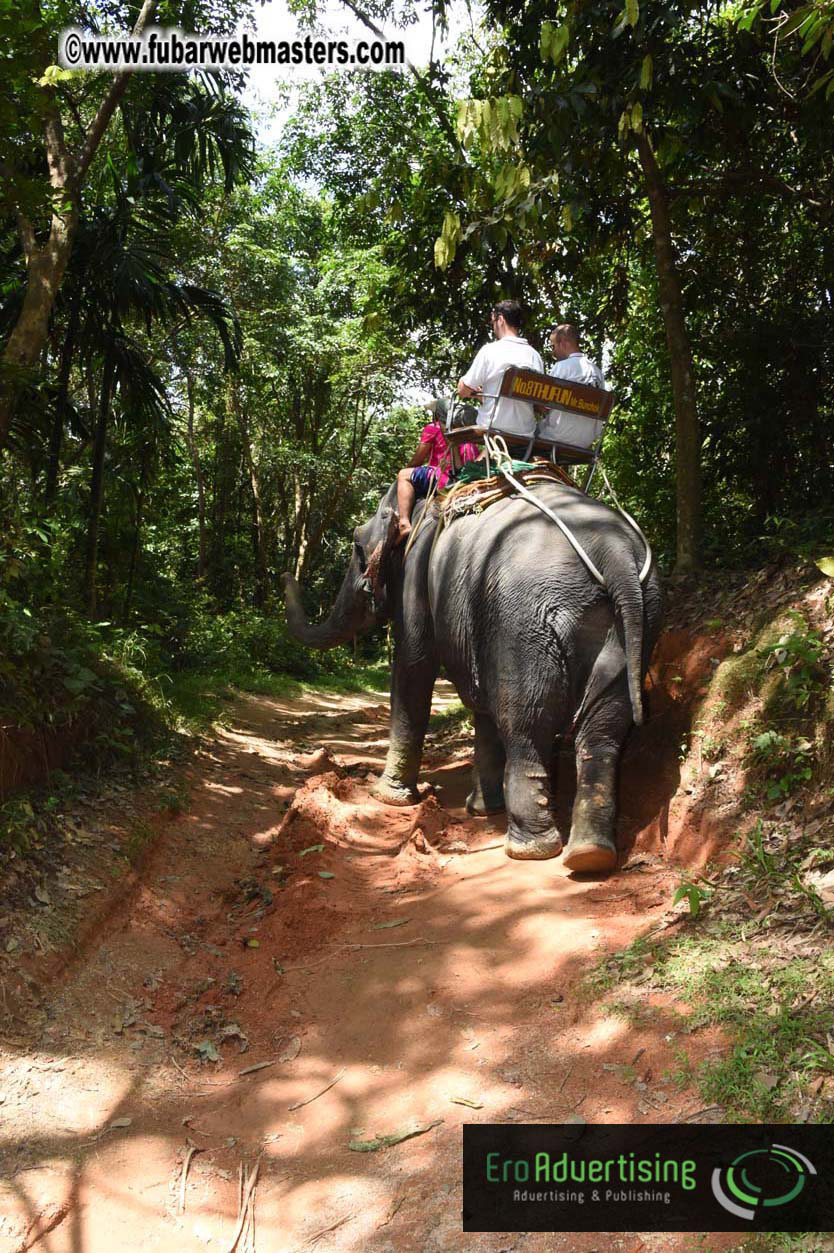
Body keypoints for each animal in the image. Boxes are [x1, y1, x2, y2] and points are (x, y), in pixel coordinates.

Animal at [283, 476, 662, 874]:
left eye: (357, 545)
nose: (284, 574)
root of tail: (614, 552)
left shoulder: (417, 578)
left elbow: (414, 667)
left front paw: (387, 797)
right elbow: (480, 702)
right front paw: (481, 809)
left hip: (524, 623)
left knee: (526, 724)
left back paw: (530, 849)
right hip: (635, 626)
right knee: (602, 730)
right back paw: (590, 855)